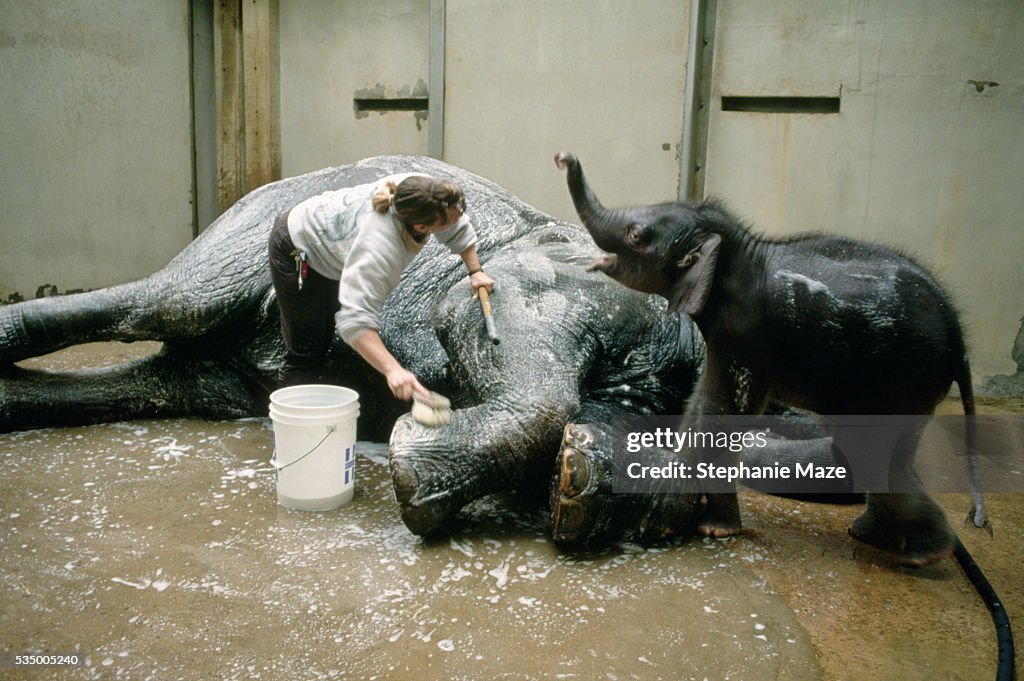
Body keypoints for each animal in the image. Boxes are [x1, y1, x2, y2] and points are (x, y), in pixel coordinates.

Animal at [557, 151, 987, 565]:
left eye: (636, 235)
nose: (563, 157)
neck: (736, 249)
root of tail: (959, 339)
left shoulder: (747, 332)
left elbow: (723, 409)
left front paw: (712, 527)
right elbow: (703, 399)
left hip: (905, 374)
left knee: (867, 450)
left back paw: (923, 554)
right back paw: (876, 537)